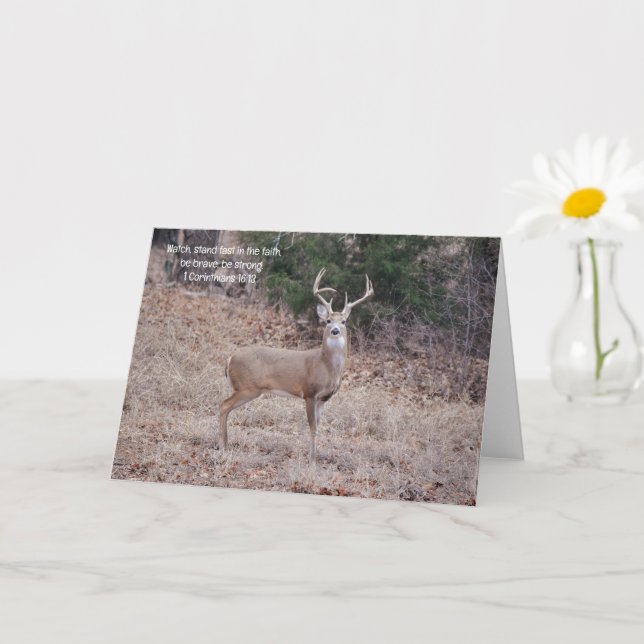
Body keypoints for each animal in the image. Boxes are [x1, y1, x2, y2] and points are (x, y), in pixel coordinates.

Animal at [219, 268, 374, 461]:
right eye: (328, 320)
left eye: (344, 321)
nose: (335, 330)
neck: (326, 366)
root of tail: (230, 358)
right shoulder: (309, 392)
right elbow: (312, 427)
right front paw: (311, 460)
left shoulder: (323, 399)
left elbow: (318, 426)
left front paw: (313, 456)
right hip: (247, 387)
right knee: (224, 405)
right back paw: (224, 446)